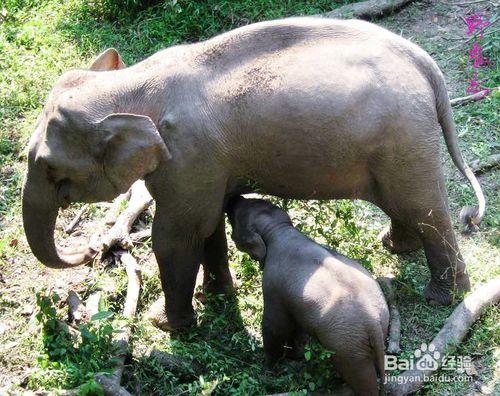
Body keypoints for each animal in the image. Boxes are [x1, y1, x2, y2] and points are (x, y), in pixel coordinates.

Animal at [22, 17, 484, 330]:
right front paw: (216, 296)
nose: (93, 250)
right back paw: (394, 246)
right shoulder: (205, 165)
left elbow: (176, 234)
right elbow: (207, 225)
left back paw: (443, 297)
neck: (133, 82)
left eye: (49, 168)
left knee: (426, 209)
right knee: (404, 203)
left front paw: (170, 325)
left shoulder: (188, 156)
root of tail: (424, 63)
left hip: (405, 138)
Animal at [228, 196, 390, 394]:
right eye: (254, 200)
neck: (280, 230)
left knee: (360, 375)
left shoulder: (273, 285)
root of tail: (374, 322)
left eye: (236, 216)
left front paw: (268, 368)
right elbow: (296, 326)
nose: (233, 198)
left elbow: (276, 325)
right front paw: (295, 356)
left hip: (347, 345)